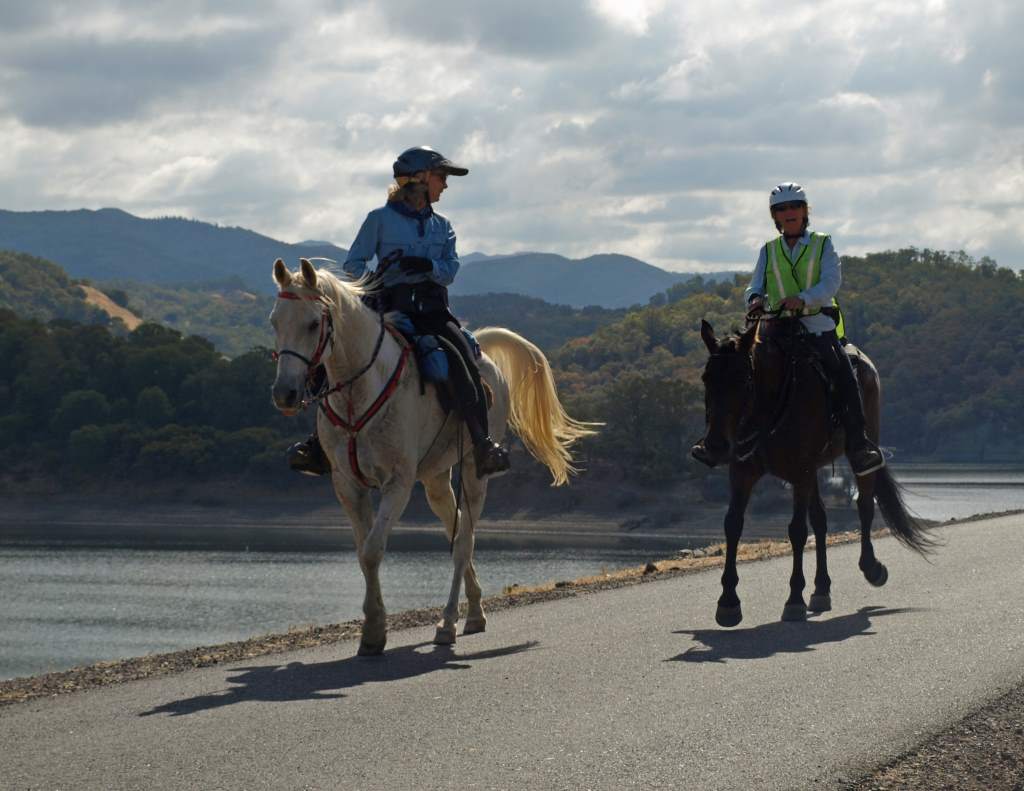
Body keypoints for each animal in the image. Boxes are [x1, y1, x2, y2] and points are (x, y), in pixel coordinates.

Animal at [270, 258, 597, 655]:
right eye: (274, 321)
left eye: (313, 323)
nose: (285, 393)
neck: (360, 389)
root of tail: (482, 352)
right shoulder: (347, 485)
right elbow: (363, 553)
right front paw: (373, 627)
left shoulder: (398, 482)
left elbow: (373, 550)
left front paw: (375, 632)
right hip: (436, 480)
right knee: (455, 532)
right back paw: (474, 613)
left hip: (472, 471)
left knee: (464, 541)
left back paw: (448, 623)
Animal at [695, 316, 933, 627]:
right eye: (706, 378)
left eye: (743, 379)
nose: (716, 445)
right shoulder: (744, 471)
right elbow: (733, 524)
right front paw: (728, 602)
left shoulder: (801, 471)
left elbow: (797, 530)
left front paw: (794, 599)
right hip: (814, 471)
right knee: (820, 520)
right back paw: (821, 589)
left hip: (856, 452)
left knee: (864, 506)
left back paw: (871, 568)